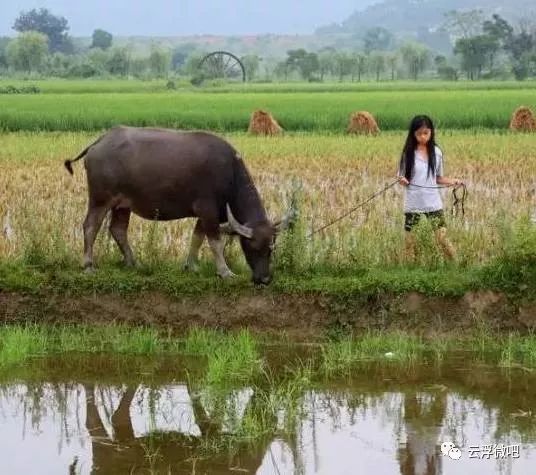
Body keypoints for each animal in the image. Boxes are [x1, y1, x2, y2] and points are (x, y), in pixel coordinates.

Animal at [66, 124, 298, 284]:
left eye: (271, 248)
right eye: (252, 246)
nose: (264, 279)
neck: (230, 174)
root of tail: (99, 142)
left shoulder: (207, 214)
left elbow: (197, 238)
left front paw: (191, 266)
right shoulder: (208, 210)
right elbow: (215, 242)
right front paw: (225, 271)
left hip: (122, 205)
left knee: (118, 229)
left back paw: (134, 263)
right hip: (100, 199)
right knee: (91, 226)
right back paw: (88, 265)